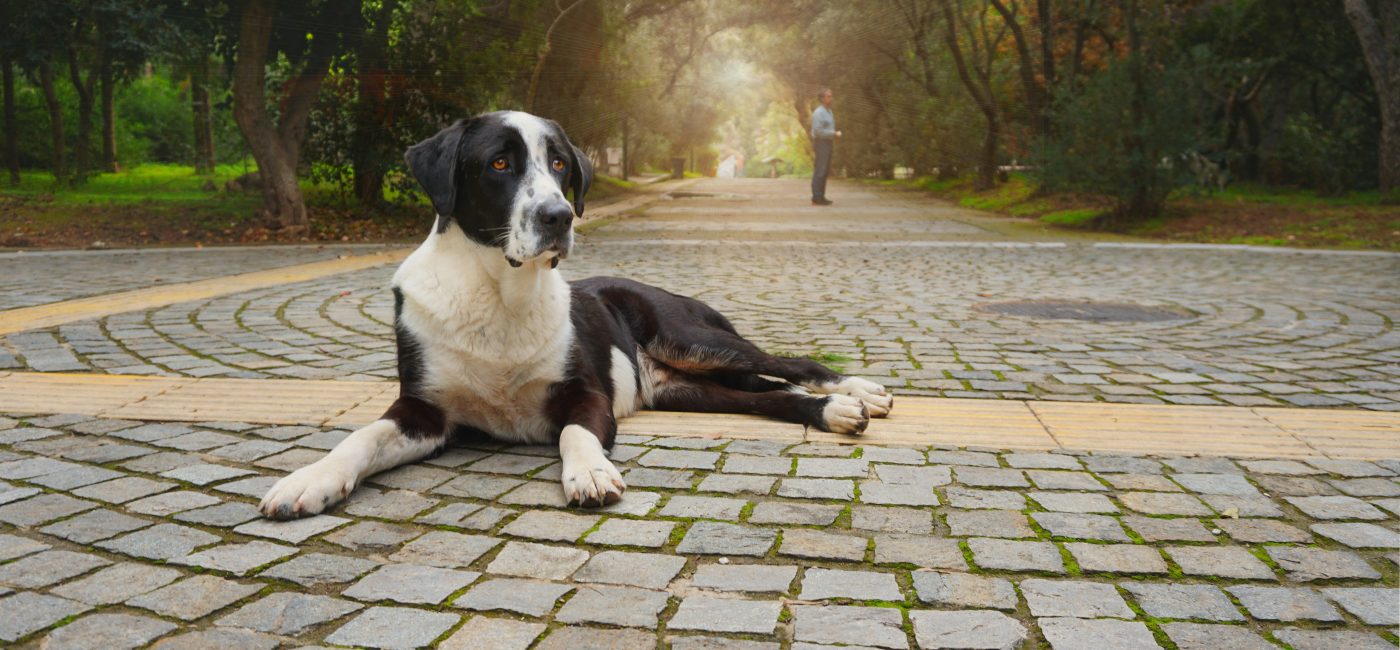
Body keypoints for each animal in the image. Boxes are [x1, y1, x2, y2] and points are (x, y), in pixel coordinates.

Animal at [261, 112, 890, 518]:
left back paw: (858, 391)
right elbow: (361, 438)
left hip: (686, 336)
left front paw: (587, 471)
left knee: (791, 362)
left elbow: (572, 432)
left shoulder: (586, 393)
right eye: (498, 163)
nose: (559, 216)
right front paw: (309, 480)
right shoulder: (424, 412)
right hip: (691, 386)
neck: (500, 292)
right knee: (767, 395)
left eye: (560, 163)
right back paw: (833, 411)